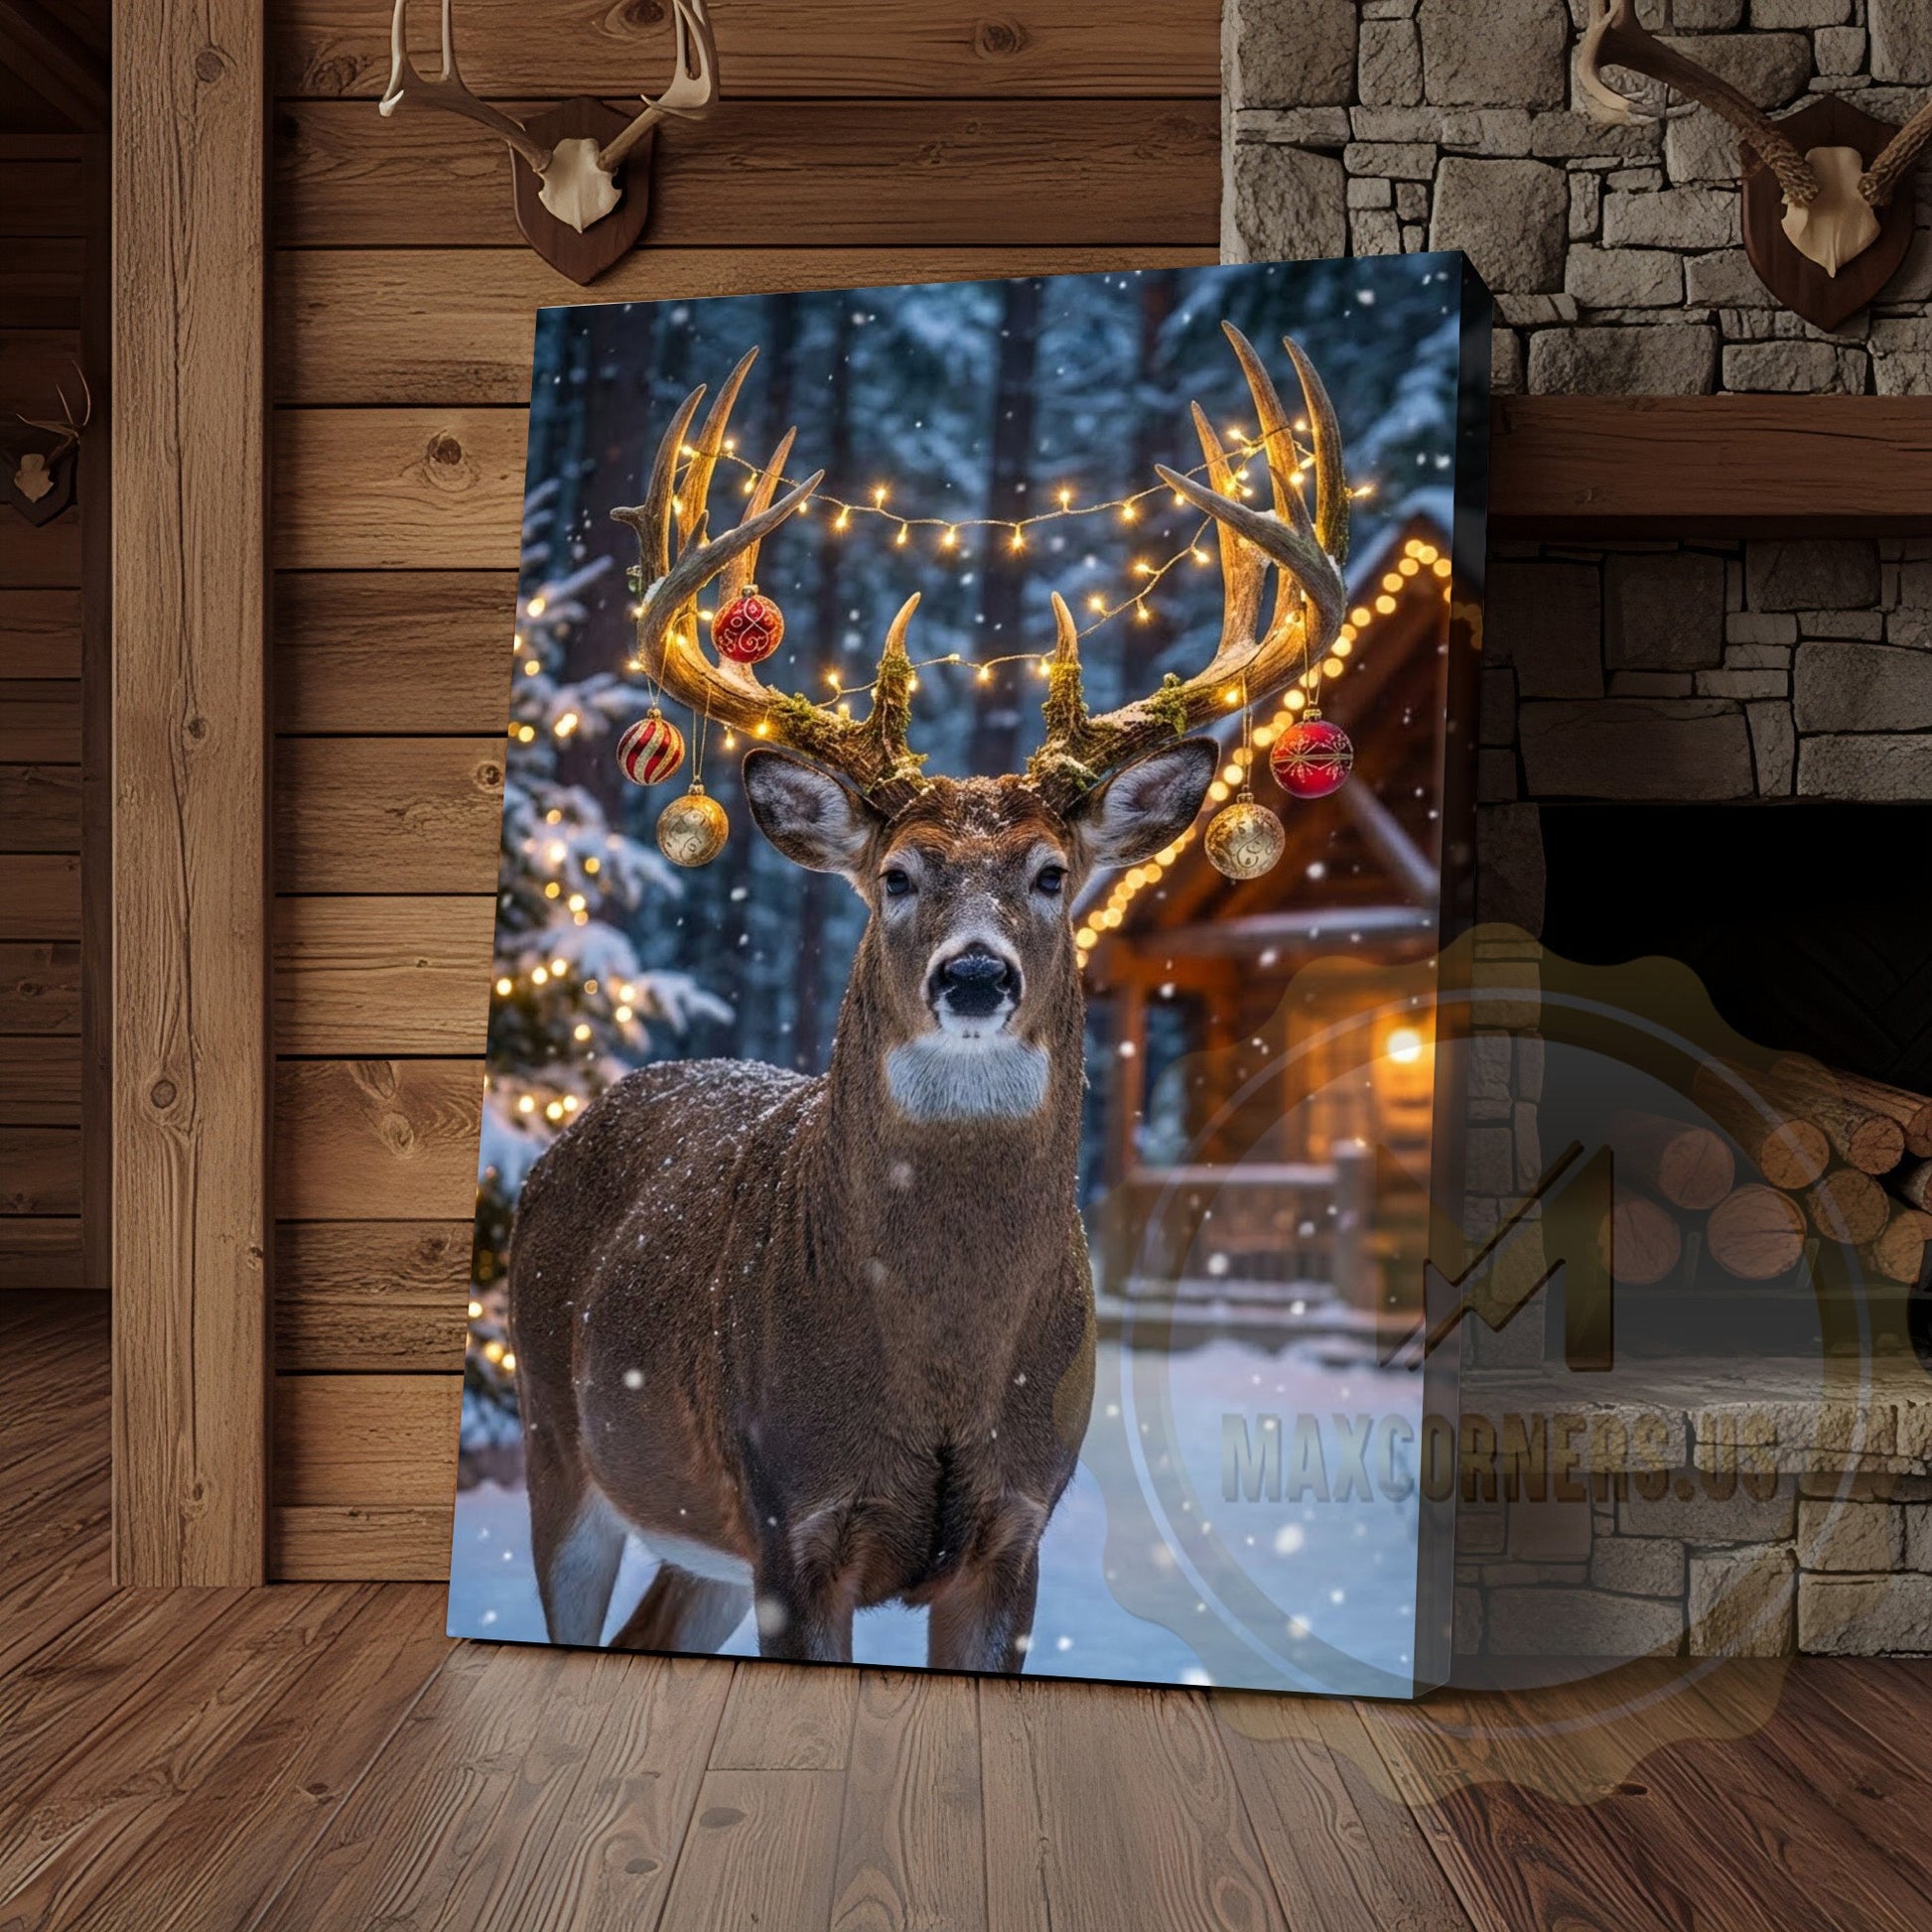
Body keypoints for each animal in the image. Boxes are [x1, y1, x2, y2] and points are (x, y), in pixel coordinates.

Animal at [506, 325, 1350, 1669]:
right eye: (896, 875)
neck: (942, 1361)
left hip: (697, 1533)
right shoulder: (793, 1515)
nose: (973, 972)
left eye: (1053, 872)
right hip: (557, 1436)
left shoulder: (1014, 1527)